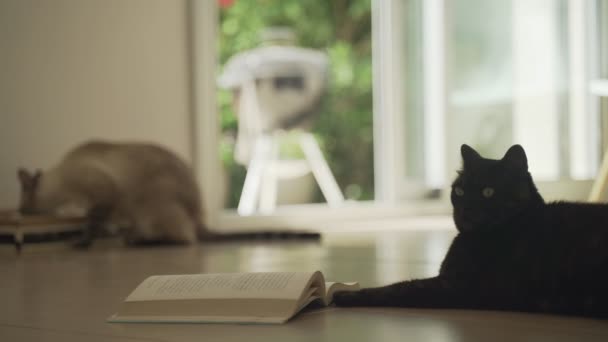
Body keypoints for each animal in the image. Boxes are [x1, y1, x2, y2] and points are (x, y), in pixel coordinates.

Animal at [332, 144, 608, 318]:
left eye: (488, 191)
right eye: (460, 191)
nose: (465, 210)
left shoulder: (455, 286)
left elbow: (398, 288)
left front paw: (345, 295)